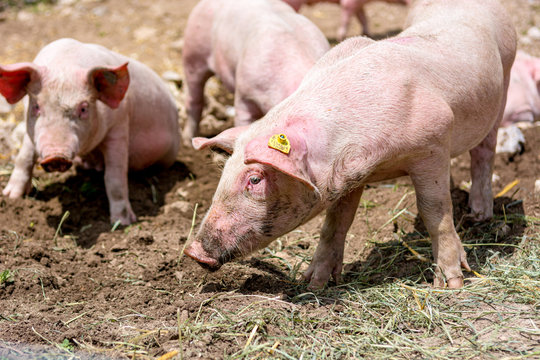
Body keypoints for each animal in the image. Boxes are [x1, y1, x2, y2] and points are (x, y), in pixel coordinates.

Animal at [0, 39, 181, 225]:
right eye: (36, 106)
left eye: (83, 108)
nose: (56, 155)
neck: (66, 65)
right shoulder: (32, 132)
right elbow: (24, 158)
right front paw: (11, 196)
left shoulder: (119, 127)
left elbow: (114, 177)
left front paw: (122, 222)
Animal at [280, 0, 412, 40]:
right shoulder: (350, 3)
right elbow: (347, 18)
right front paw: (341, 37)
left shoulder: (360, 5)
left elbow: (363, 18)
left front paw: (367, 34)